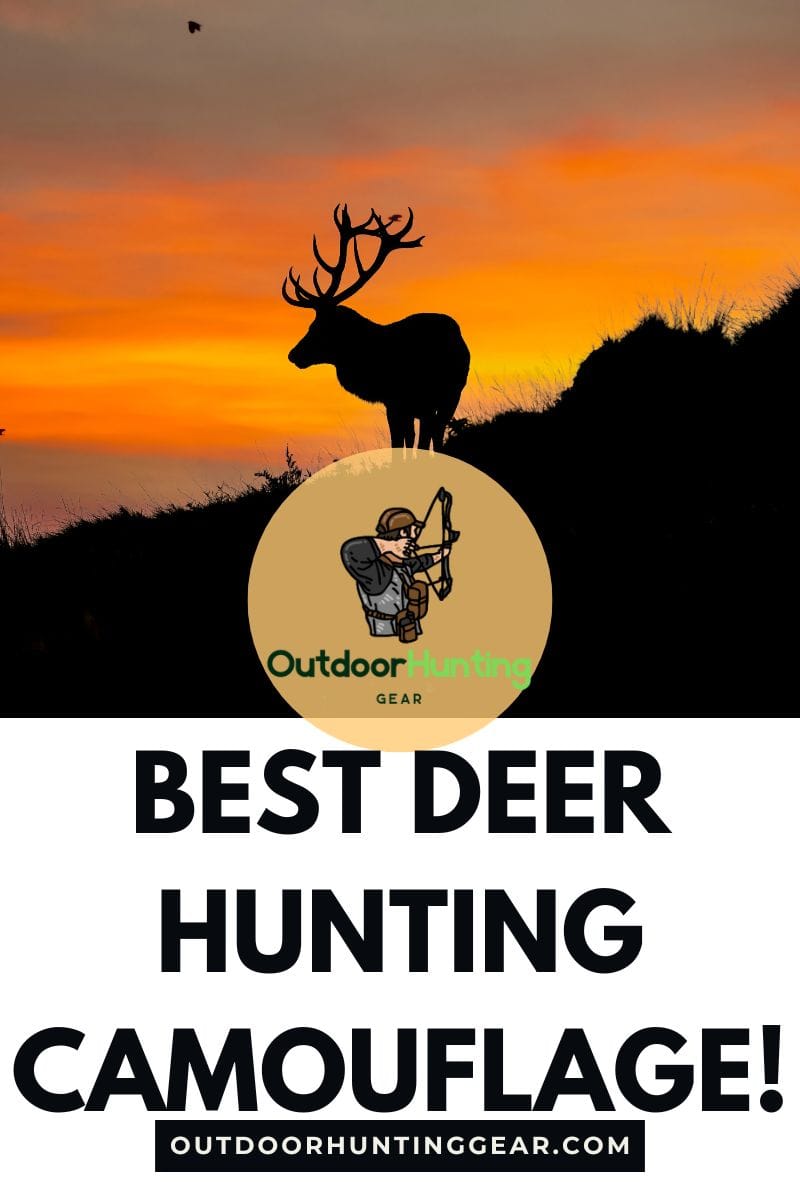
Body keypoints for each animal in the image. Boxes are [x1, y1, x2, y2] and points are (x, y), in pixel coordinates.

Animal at [282, 206, 470, 451]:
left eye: (320, 327)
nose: (293, 354)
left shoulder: (402, 400)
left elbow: (404, 442)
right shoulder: (402, 404)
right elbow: (406, 441)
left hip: (447, 395)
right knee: (435, 435)